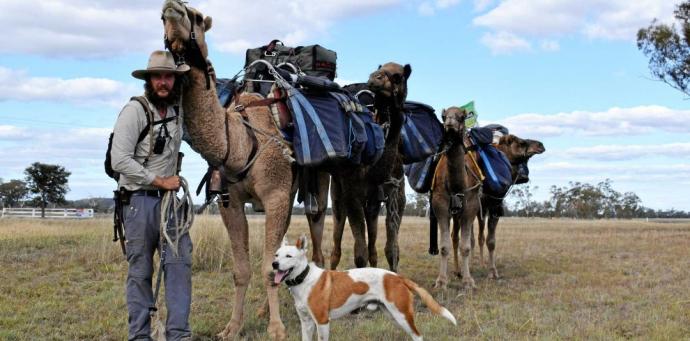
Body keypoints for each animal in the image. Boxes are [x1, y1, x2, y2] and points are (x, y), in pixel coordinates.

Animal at [270, 234, 456, 340]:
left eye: (289, 256)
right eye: (276, 255)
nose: (274, 264)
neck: (305, 279)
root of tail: (398, 277)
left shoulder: (322, 321)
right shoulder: (306, 322)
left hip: (402, 315)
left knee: (418, 336)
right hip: (395, 316)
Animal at [328, 63, 408, 270]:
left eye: (398, 77)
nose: (374, 78)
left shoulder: (397, 193)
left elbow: (392, 250)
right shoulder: (352, 194)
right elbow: (359, 254)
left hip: (372, 204)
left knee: (373, 245)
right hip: (338, 193)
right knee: (336, 246)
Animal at [430, 105, 478, 288]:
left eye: (462, 117)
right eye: (443, 116)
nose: (450, 122)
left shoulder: (471, 206)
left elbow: (466, 247)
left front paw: (468, 281)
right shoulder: (440, 204)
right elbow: (444, 246)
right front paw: (441, 281)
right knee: (454, 238)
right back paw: (456, 272)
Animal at [472, 134, 544, 278]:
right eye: (521, 142)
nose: (541, 145)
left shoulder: (495, 208)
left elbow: (491, 241)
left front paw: (493, 272)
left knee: (480, 236)